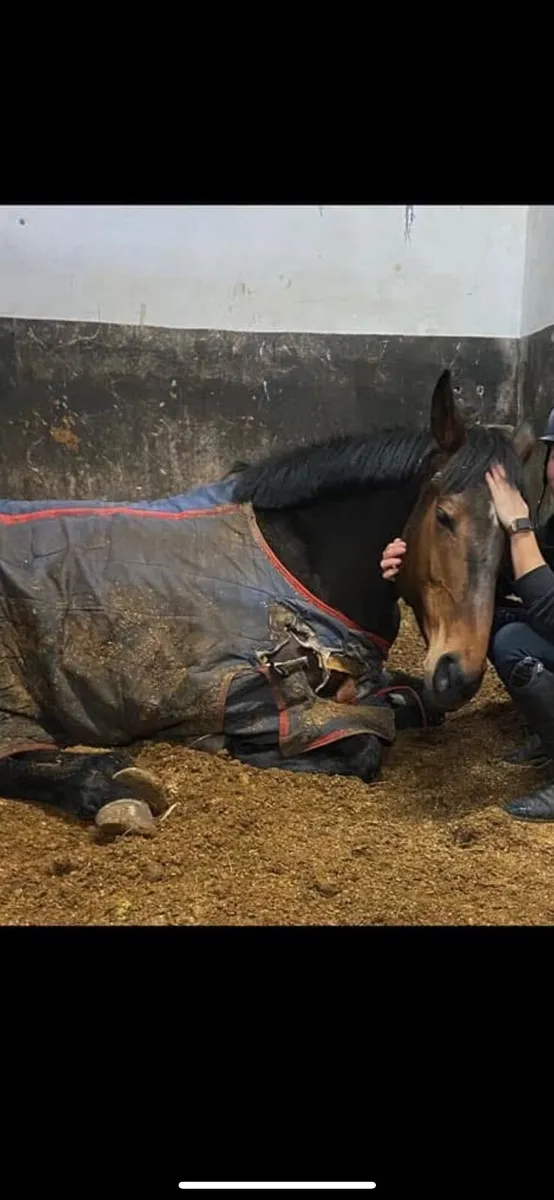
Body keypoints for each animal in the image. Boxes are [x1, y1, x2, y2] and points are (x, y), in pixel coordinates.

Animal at [0, 370, 535, 839]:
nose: (458, 676)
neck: (302, 555)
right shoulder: (250, 690)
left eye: (510, 533)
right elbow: (362, 746)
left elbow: (407, 702)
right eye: (444, 517)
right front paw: (239, 748)